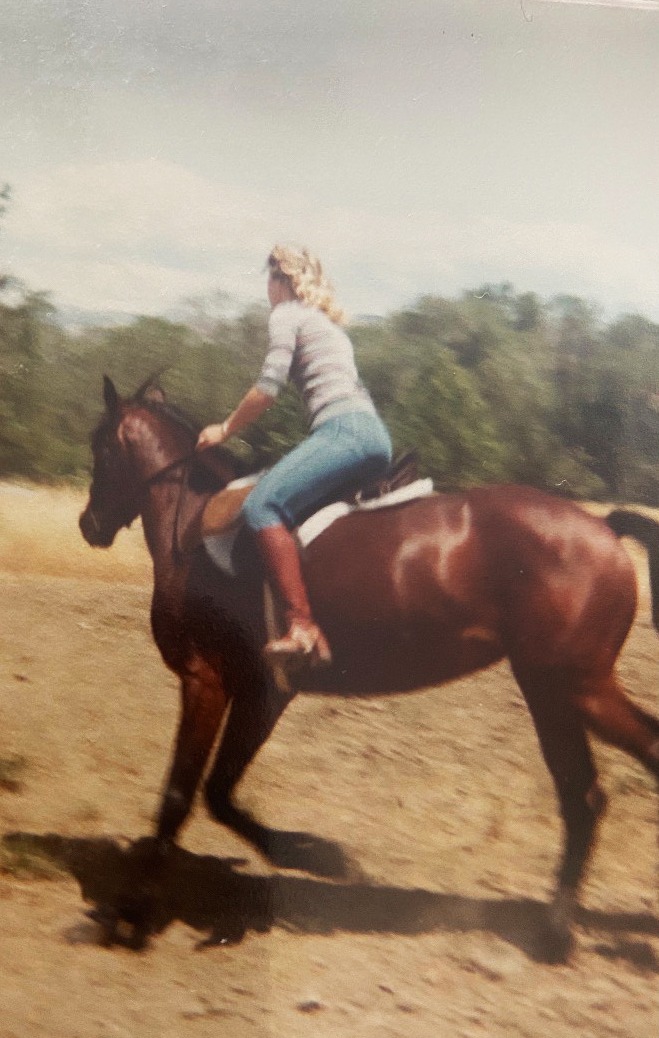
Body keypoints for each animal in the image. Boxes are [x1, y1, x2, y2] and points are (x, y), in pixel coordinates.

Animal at [79, 376, 659, 960]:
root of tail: (603, 529)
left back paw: (562, 933)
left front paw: (133, 913)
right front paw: (316, 856)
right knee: (583, 794)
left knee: (611, 775)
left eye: (100, 448)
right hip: (550, 691)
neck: (194, 527)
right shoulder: (263, 691)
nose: (89, 525)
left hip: (574, 686)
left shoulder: (207, 682)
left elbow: (180, 795)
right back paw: (557, 929)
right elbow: (219, 793)